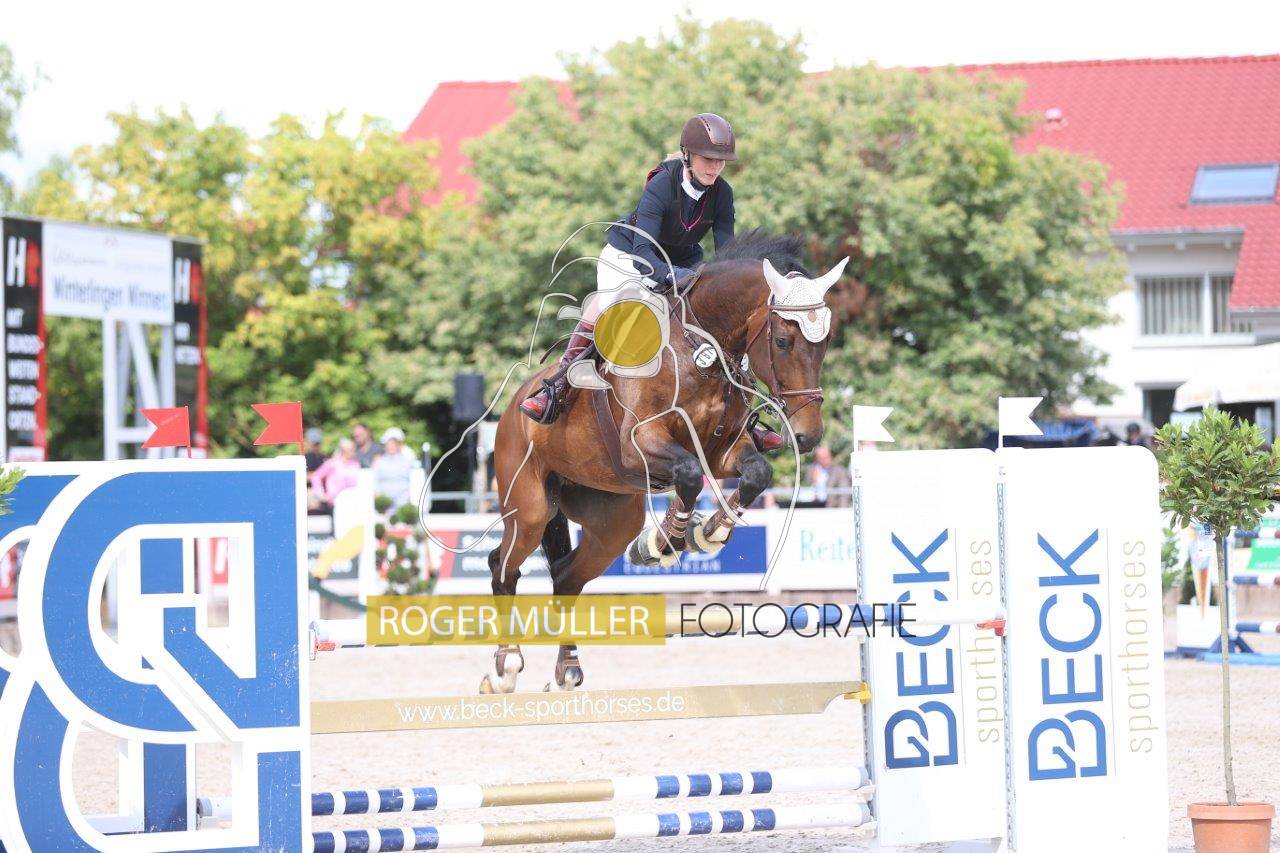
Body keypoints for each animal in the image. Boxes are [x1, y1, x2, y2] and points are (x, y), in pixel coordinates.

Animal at [481, 232, 848, 693]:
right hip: (528, 508)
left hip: (612, 521)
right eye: (783, 341)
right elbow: (688, 474)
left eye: (826, 342)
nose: (807, 435)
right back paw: (503, 667)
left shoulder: (723, 453)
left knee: (567, 577)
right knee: (503, 566)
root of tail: (514, 405)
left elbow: (754, 473)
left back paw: (567, 669)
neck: (700, 351)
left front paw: (707, 533)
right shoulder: (639, 443)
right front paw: (666, 542)